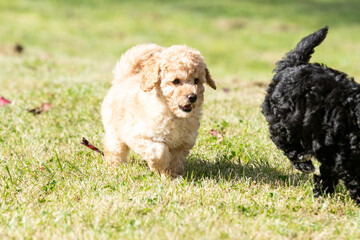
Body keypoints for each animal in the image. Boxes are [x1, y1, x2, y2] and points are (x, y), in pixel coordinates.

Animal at [100, 44, 217, 177]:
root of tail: (124, 77)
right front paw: (160, 168)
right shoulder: (138, 136)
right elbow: (159, 151)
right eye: (176, 81)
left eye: (196, 80)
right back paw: (115, 167)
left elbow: (176, 160)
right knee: (114, 150)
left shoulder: (182, 143)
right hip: (114, 132)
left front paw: (172, 176)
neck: (174, 115)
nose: (192, 97)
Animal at [260, 25, 360, 202]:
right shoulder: (348, 156)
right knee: (282, 141)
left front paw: (322, 193)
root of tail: (294, 64)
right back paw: (303, 163)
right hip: (283, 122)